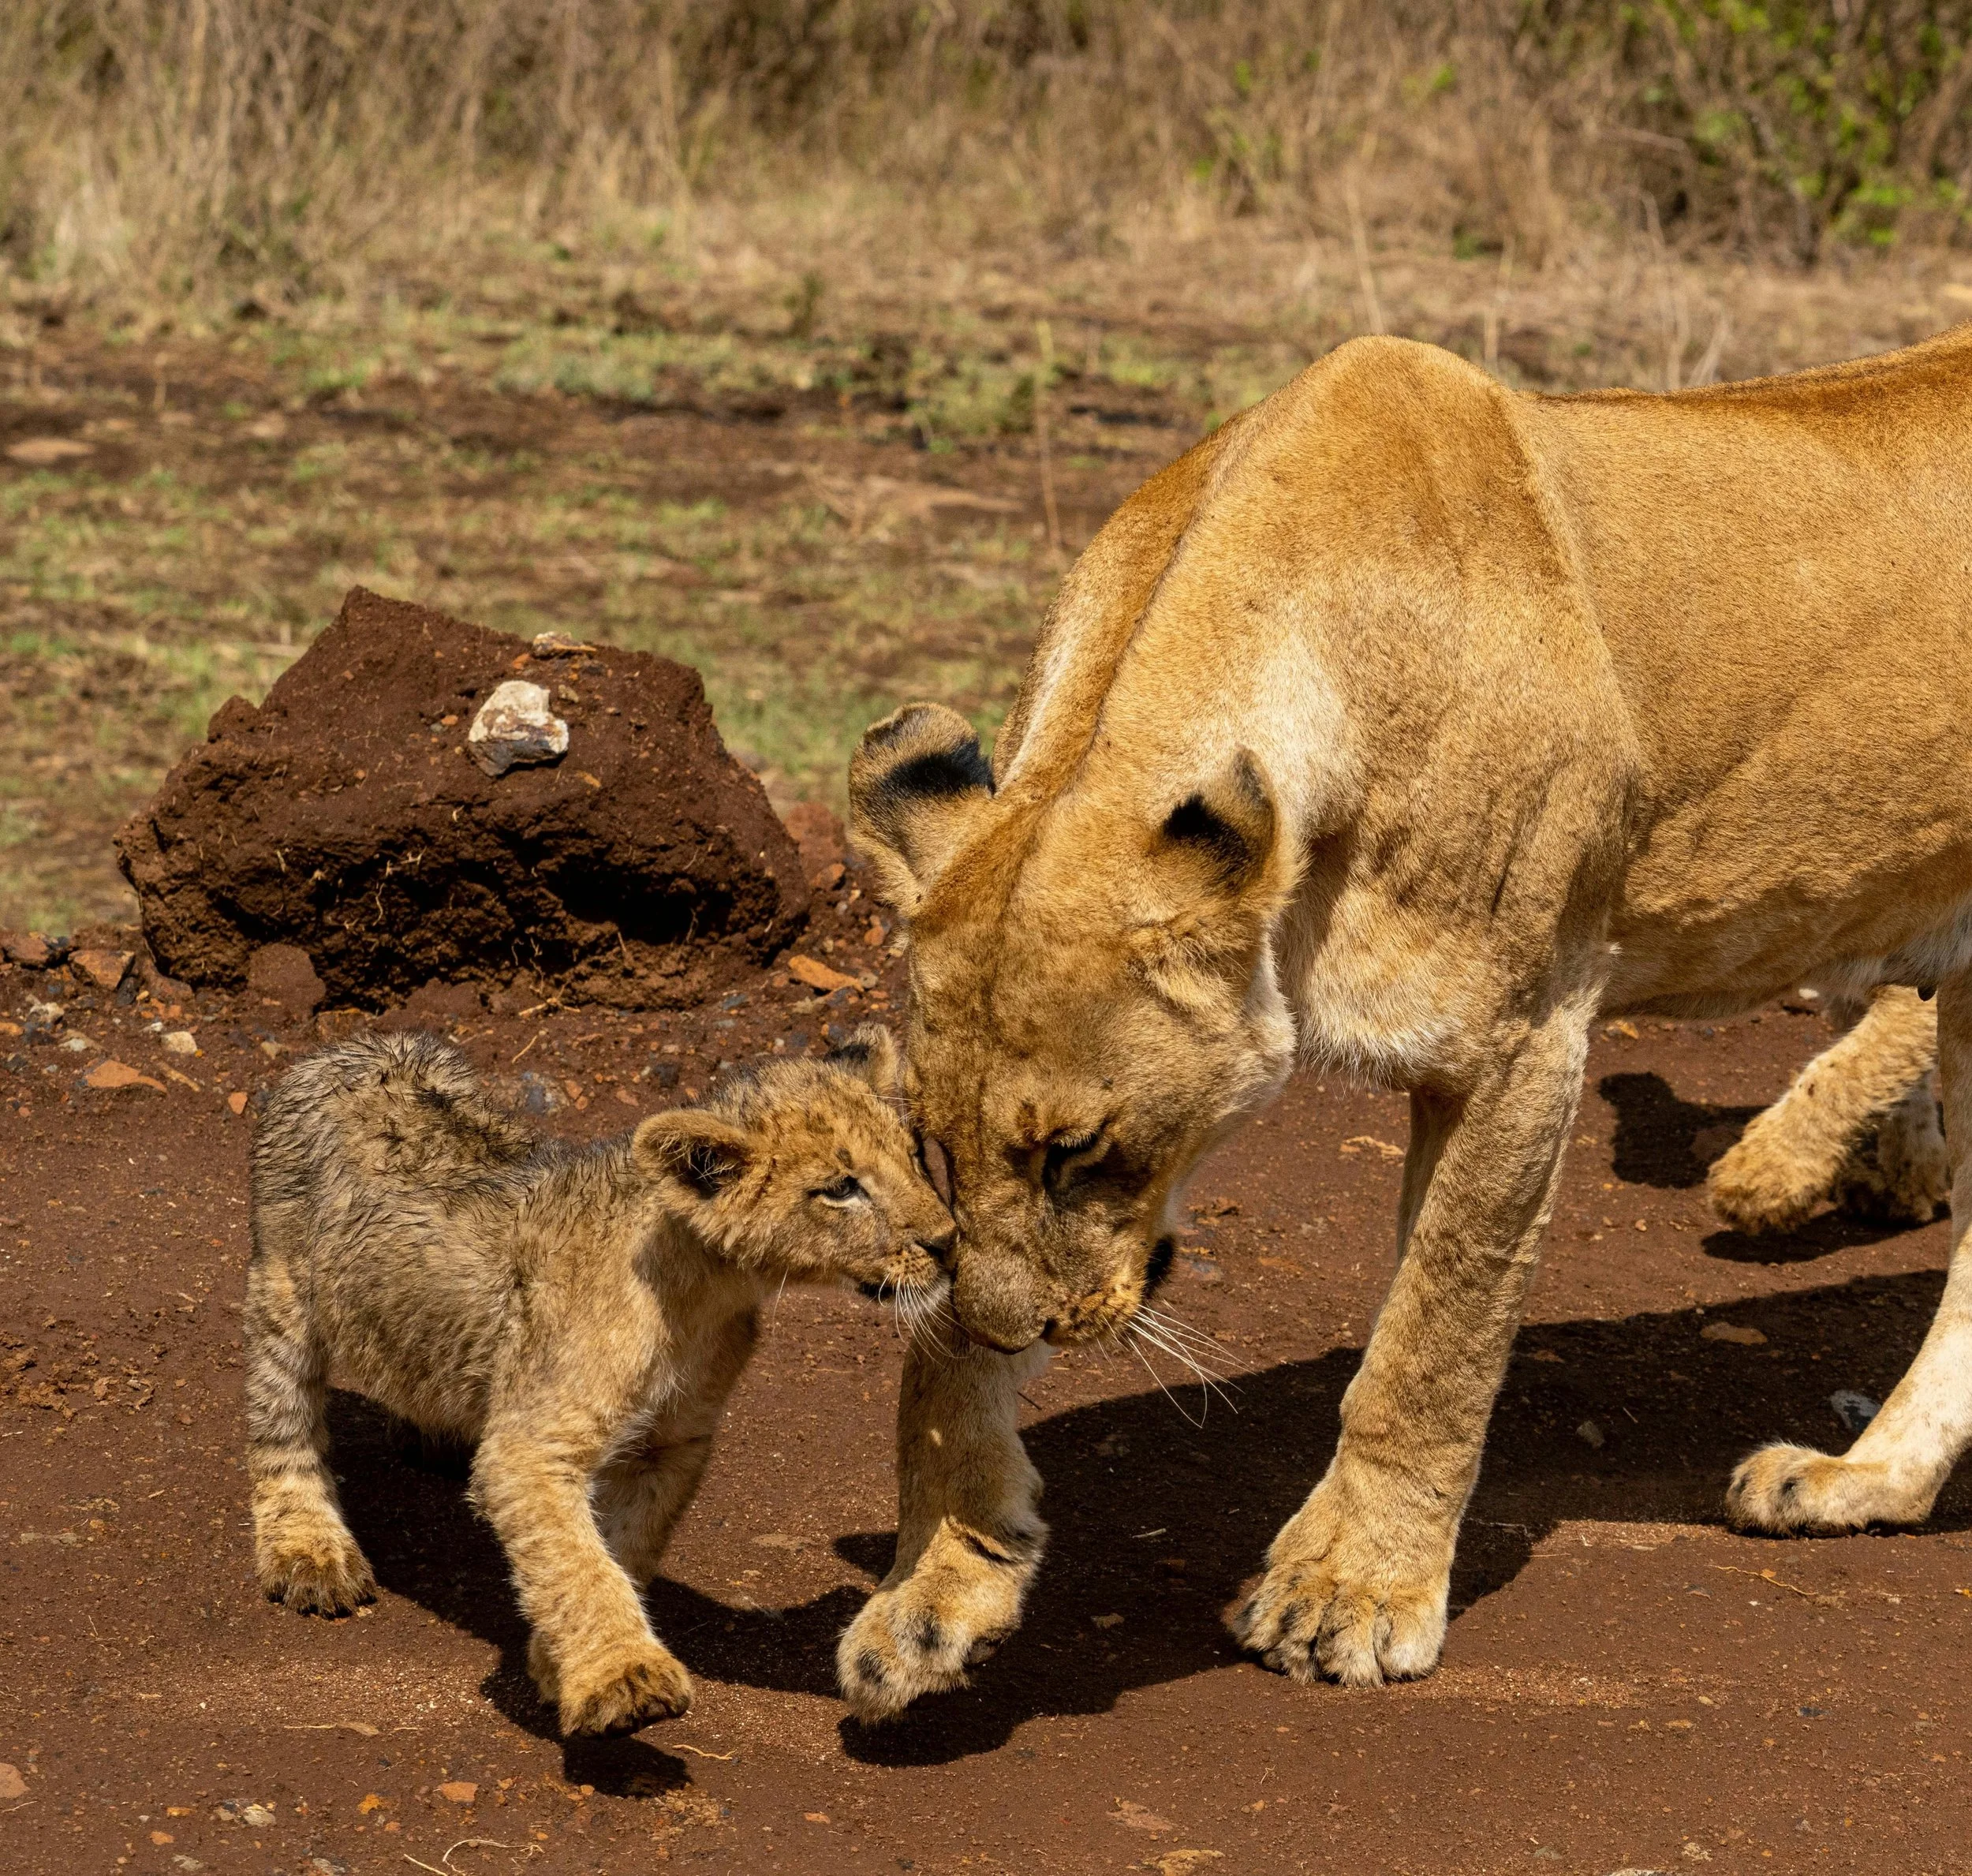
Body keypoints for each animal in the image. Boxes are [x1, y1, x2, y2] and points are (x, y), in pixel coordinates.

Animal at [245, 1027, 950, 1737]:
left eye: (915, 1154)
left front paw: (555, 1663)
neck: (705, 1292)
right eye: (841, 1188)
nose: (948, 1241)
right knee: (282, 1424)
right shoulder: (531, 1446)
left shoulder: (669, 1443)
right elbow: (578, 1563)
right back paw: (309, 1553)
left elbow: (623, 1548)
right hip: (286, 1292)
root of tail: (354, 1046)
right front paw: (624, 1678)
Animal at [834, 322, 1972, 1717]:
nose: (1022, 1328)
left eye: (1078, 1152)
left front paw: (1349, 1595)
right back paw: (1861, 1479)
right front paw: (938, 1584)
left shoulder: (1523, 1038)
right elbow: (935, 1349)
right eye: (931, 1151)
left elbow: (1433, 1337)